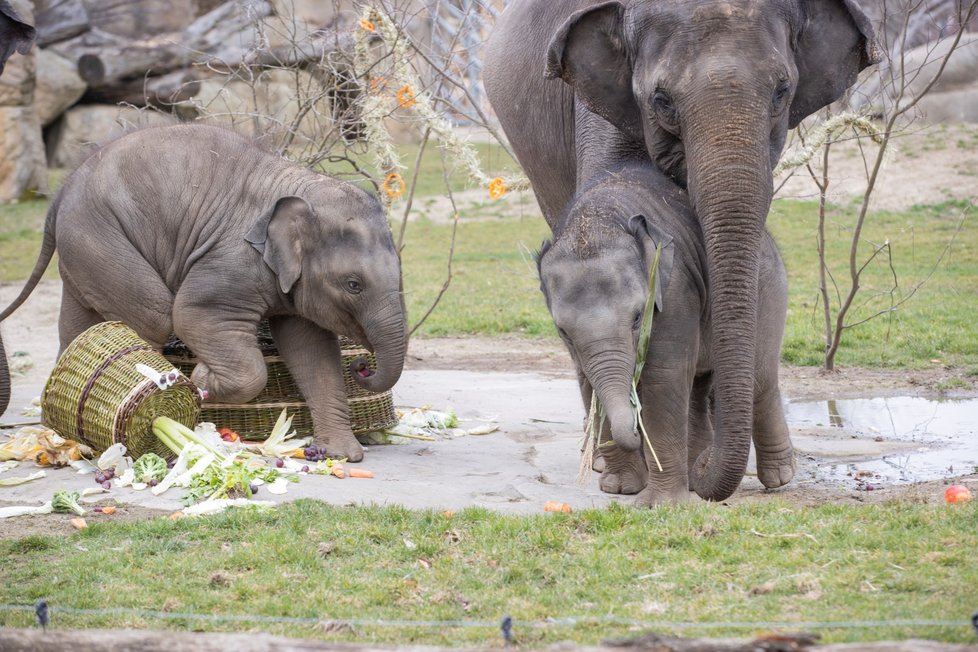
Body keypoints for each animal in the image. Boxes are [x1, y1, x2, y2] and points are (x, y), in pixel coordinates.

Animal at [0, 122, 404, 458]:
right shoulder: (231, 260)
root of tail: (61, 191)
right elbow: (192, 314)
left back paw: (62, 432)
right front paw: (200, 380)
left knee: (79, 321)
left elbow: (312, 348)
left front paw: (342, 456)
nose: (363, 366)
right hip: (99, 237)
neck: (304, 185)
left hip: (84, 248)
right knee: (155, 315)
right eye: (354, 285)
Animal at [532, 162, 792, 504]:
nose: (633, 428)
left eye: (637, 317)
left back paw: (777, 478)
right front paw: (621, 488)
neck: (598, 218)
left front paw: (659, 504)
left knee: (760, 379)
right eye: (562, 331)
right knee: (699, 383)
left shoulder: (675, 287)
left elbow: (664, 375)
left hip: (770, 291)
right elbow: (588, 380)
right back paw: (695, 470)